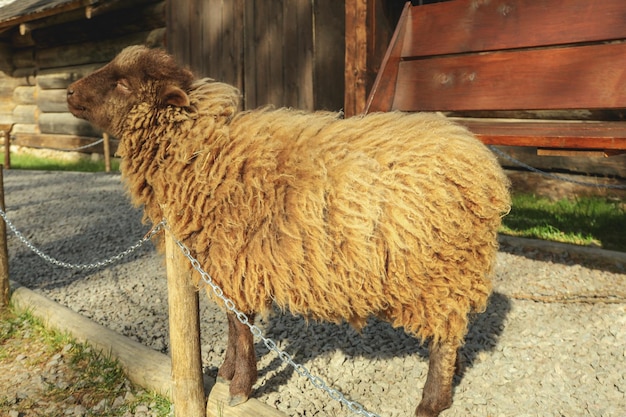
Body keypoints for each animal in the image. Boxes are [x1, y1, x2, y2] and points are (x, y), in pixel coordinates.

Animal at [67, 45, 508, 416]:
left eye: (124, 83)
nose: (69, 91)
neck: (200, 152)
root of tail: (482, 160)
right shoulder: (223, 264)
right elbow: (234, 325)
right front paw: (225, 373)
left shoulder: (233, 261)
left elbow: (241, 328)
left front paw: (240, 388)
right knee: (453, 335)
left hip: (443, 273)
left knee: (444, 340)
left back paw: (432, 402)